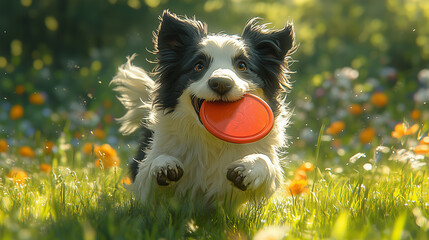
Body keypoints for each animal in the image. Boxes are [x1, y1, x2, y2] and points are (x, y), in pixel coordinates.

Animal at [111, 10, 294, 210]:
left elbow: (267, 165)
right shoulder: (147, 183)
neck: (212, 139)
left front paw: (248, 168)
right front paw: (164, 165)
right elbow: (150, 168)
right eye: (199, 66)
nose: (221, 83)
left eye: (242, 66)